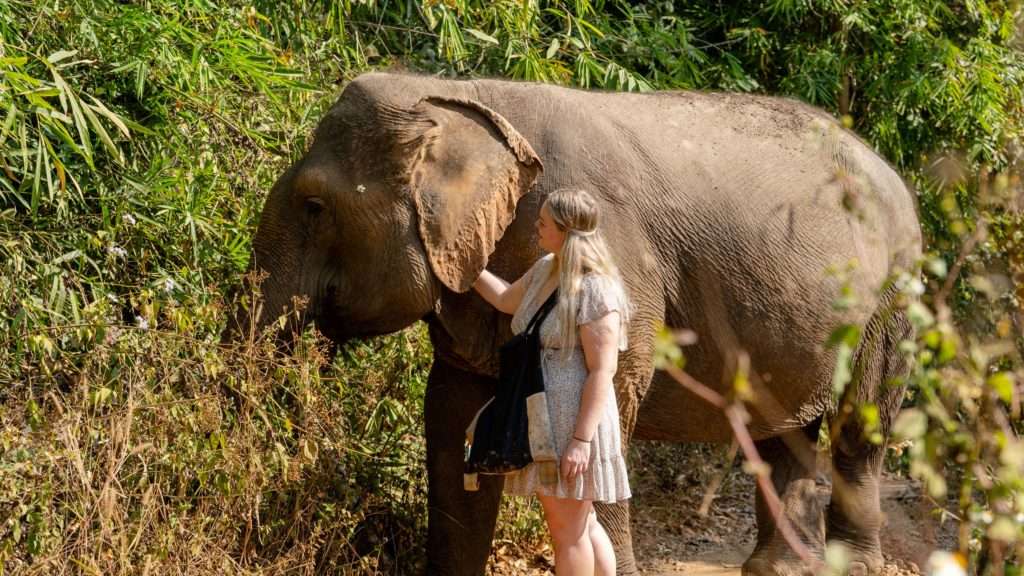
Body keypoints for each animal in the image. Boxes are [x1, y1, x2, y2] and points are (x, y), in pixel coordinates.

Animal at [230, 72, 921, 573]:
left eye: (315, 206)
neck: (460, 95)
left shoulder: (619, 260)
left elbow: (609, 384)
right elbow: (449, 417)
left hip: (893, 297)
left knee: (861, 428)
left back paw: (856, 566)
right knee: (783, 431)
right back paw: (780, 568)